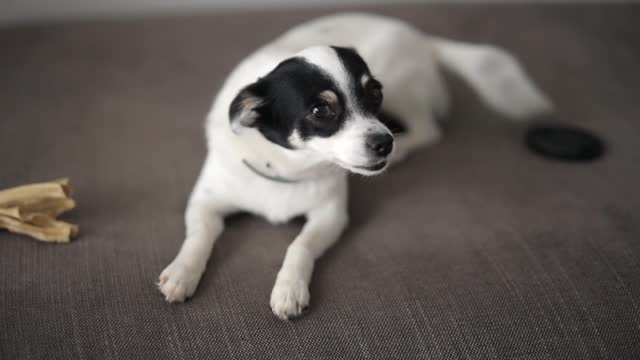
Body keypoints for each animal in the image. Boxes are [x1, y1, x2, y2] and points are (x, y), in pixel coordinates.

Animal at [156, 12, 552, 320]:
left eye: (374, 94)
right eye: (320, 110)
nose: (384, 142)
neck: (287, 168)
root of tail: (421, 39)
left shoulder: (330, 216)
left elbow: (299, 245)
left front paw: (289, 288)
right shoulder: (206, 201)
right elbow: (200, 235)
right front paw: (182, 272)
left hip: (403, 87)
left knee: (429, 130)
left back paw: (404, 148)